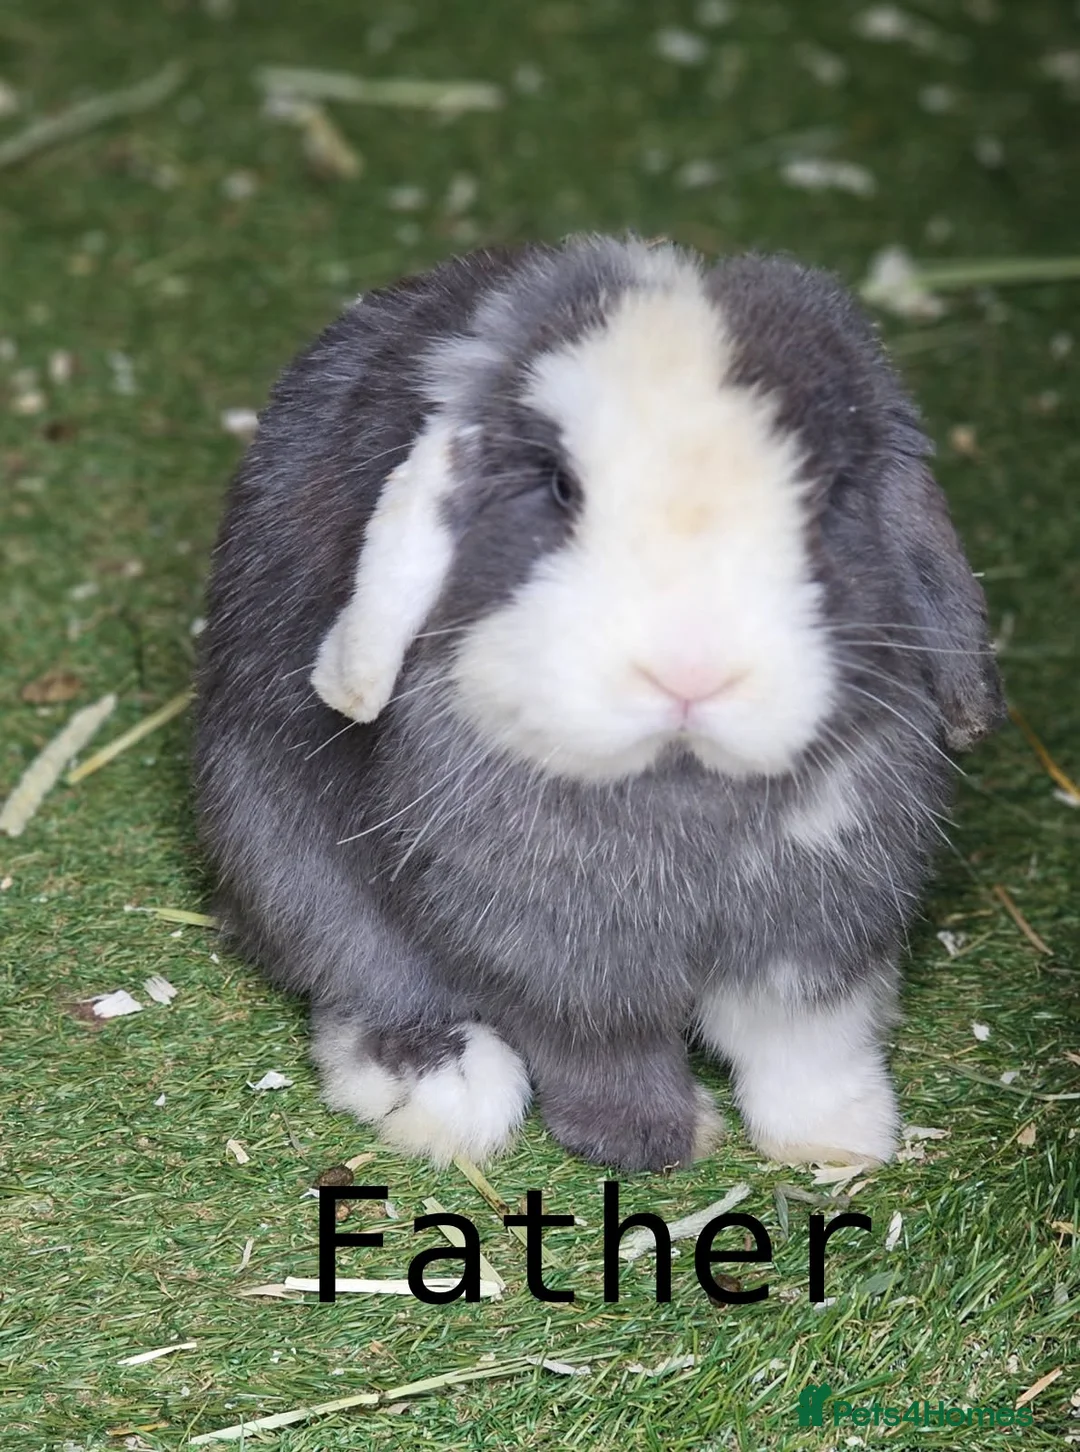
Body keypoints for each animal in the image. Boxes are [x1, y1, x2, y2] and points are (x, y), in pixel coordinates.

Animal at [193, 234, 1004, 1174]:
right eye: (560, 488)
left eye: (830, 495)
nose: (690, 671)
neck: (683, 785)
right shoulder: (558, 954)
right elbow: (600, 1043)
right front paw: (649, 1141)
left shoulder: (817, 927)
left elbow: (804, 1037)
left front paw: (838, 1139)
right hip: (279, 858)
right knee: (365, 977)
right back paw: (443, 1090)